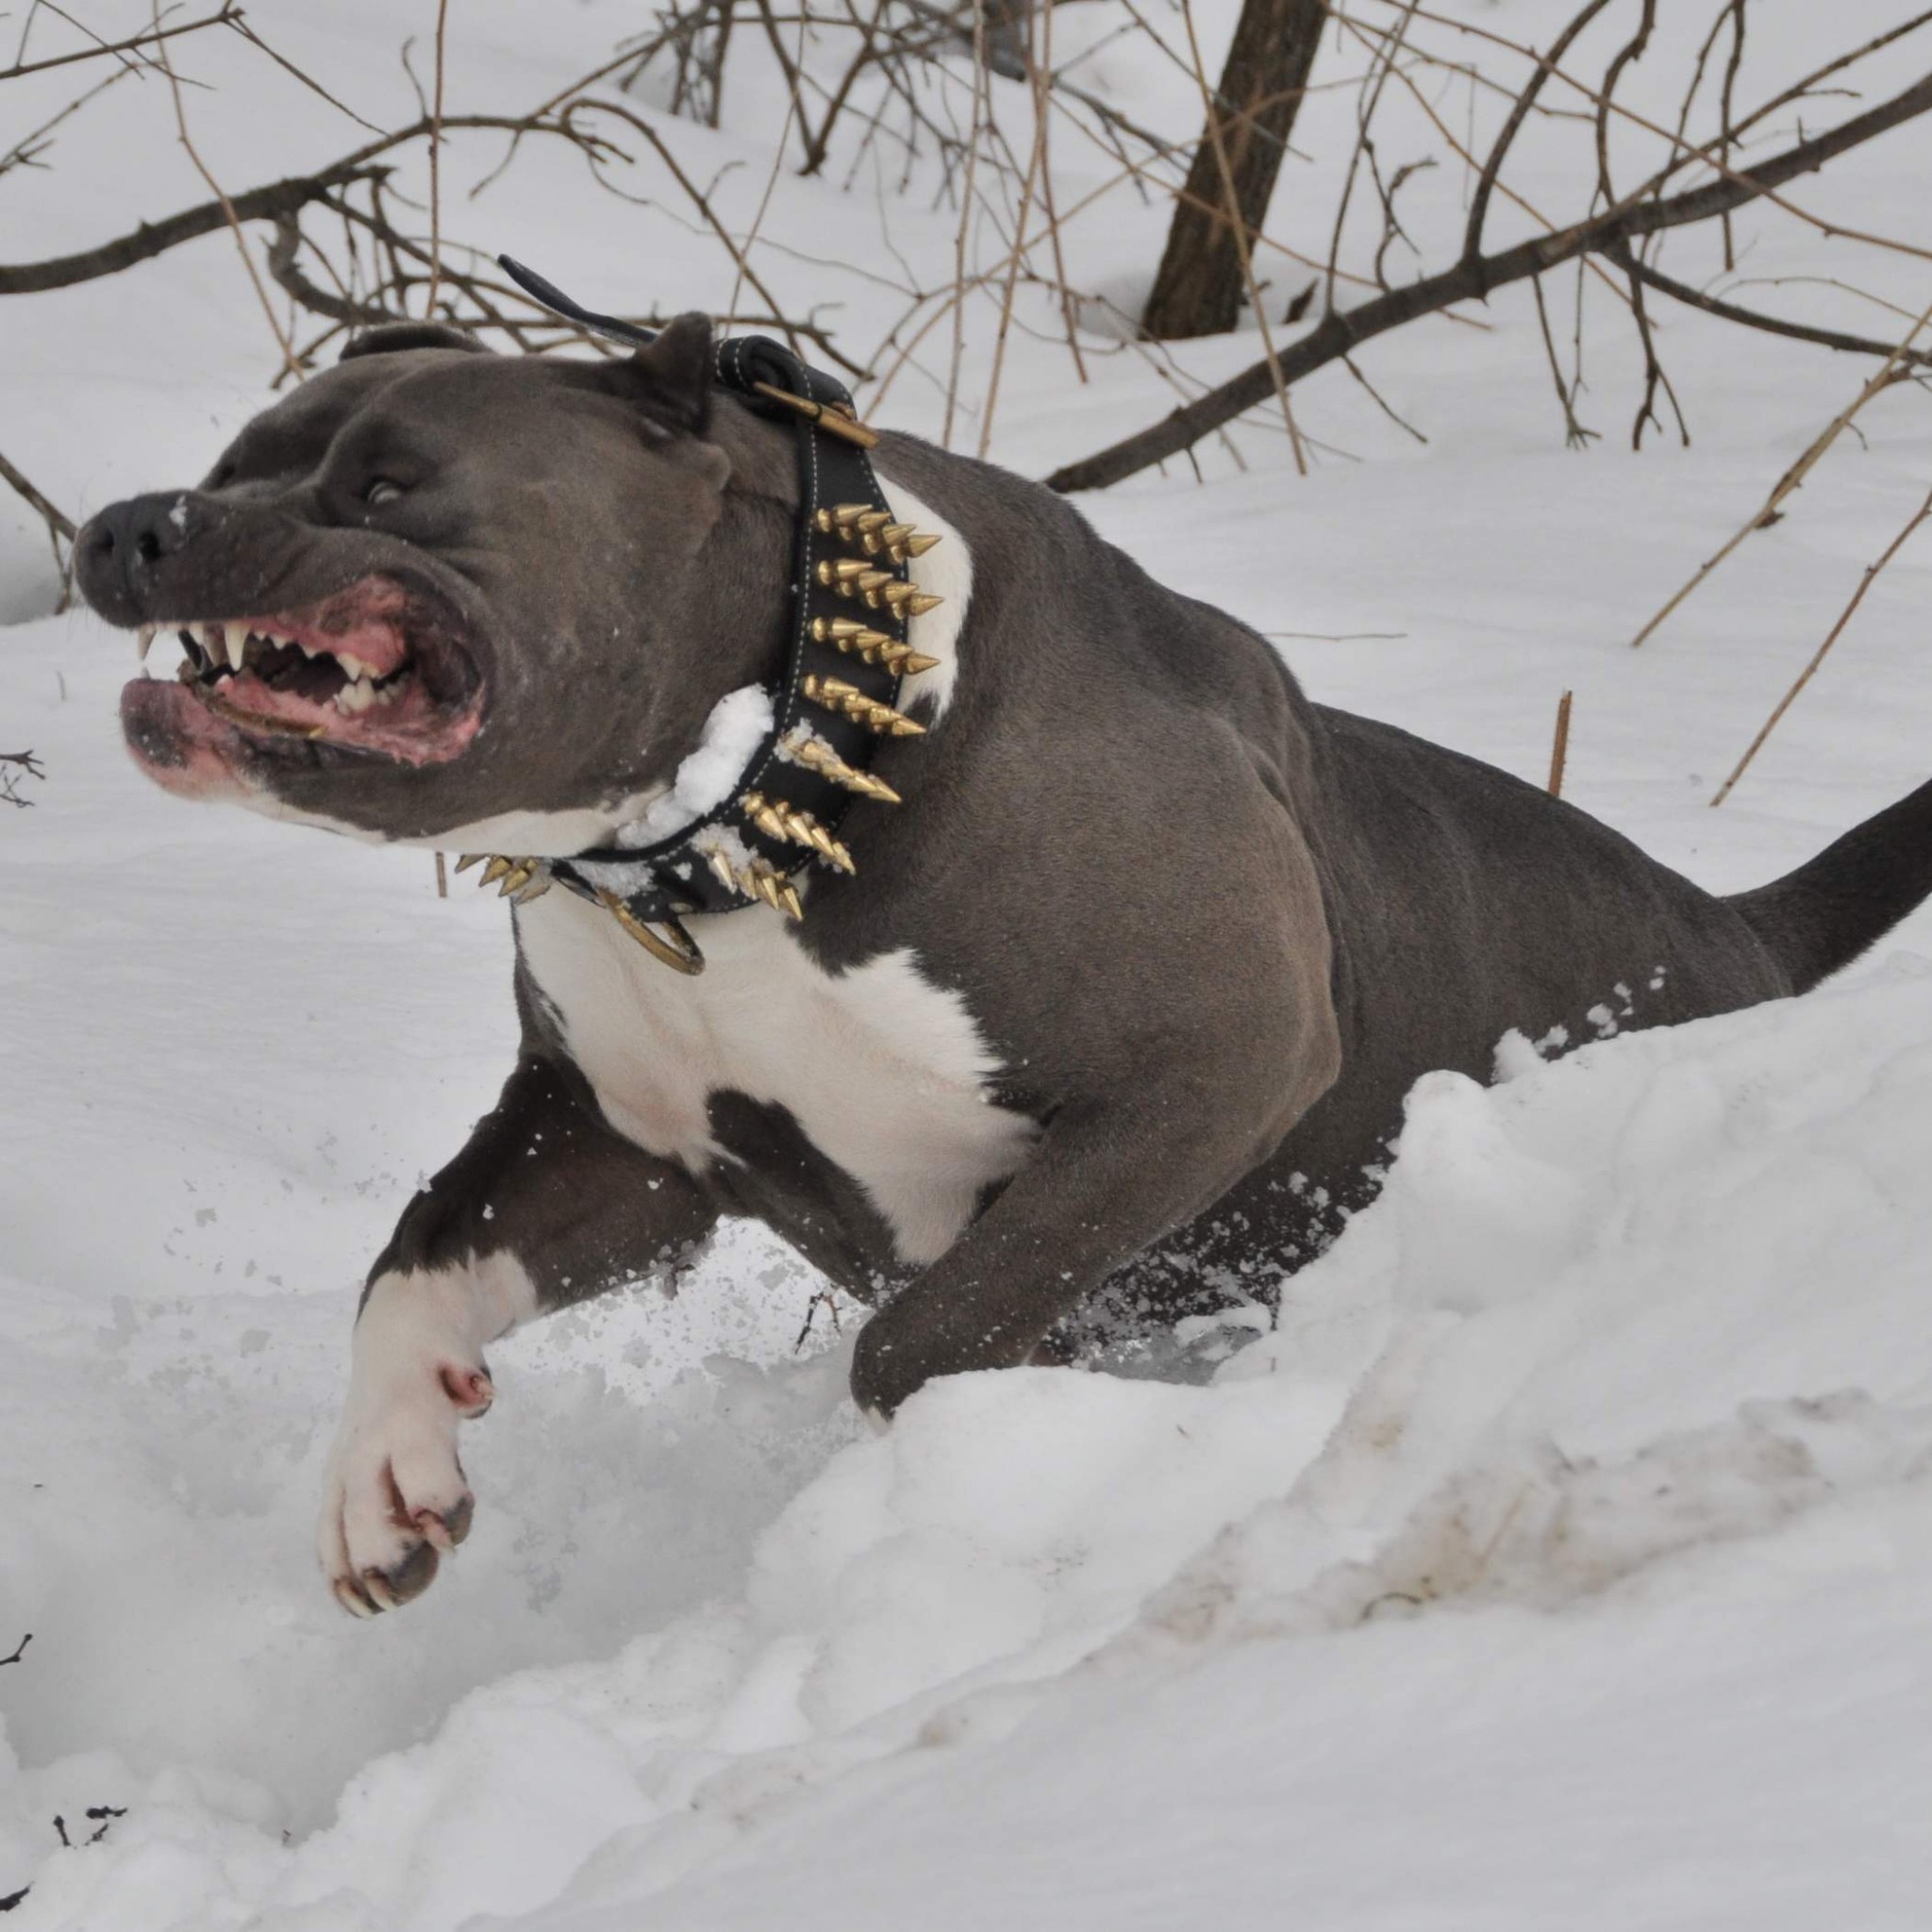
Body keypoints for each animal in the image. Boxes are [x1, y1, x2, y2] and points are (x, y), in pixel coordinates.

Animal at [75, 312, 1932, 1616]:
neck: (740, 808)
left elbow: (923, 1338)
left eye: (387, 484)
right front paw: (386, 1478)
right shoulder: (622, 1141)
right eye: (238, 457)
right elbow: (413, 1265)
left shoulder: (1215, 1070)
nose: (126, 525)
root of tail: (1742, 932)